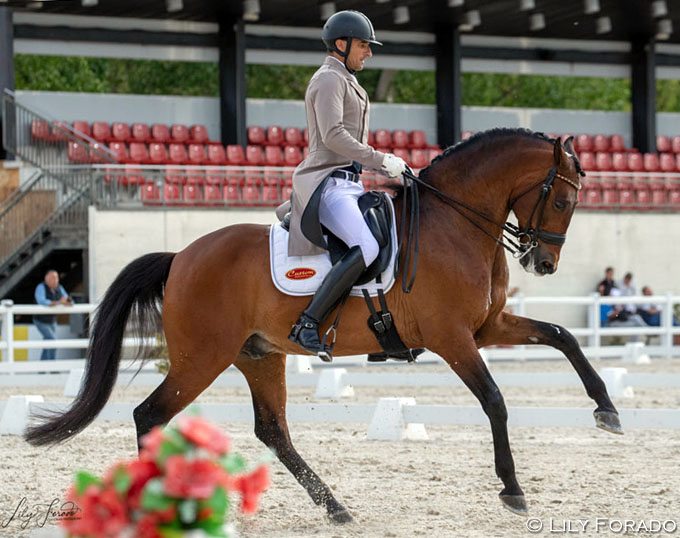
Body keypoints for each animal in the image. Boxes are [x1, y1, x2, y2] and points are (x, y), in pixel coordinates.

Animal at [25, 127, 620, 520]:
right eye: (562, 199)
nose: (544, 264)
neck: (456, 223)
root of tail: (180, 257)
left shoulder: (486, 327)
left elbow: (564, 337)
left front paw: (606, 411)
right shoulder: (453, 339)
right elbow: (495, 400)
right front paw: (513, 489)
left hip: (258, 356)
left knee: (273, 431)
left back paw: (335, 506)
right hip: (203, 357)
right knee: (150, 415)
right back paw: (158, 507)